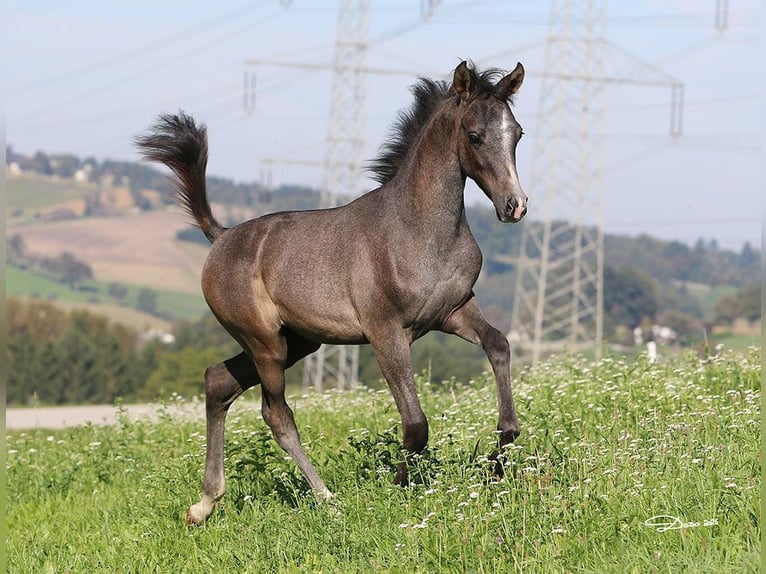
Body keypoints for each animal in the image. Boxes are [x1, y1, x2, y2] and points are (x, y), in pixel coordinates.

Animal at [135, 60, 527, 525]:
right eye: (474, 135)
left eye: (517, 133)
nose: (515, 205)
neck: (420, 230)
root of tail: (221, 236)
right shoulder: (385, 331)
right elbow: (415, 423)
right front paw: (398, 488)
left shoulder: (455, 312)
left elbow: (499, 345)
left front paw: (499, 461)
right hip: (265, 343)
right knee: (276, 413)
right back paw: (326, 498)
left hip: (298, 341)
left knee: (218, 381)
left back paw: (204, 504)